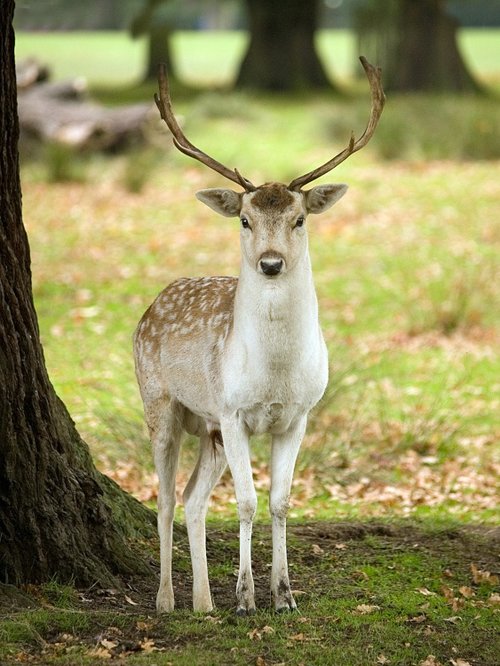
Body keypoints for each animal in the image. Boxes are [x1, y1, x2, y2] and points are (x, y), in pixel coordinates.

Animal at [132, 55, 382, 612]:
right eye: (245, 219)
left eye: (300, 218)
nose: (271, 263)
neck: (275, 376)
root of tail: (151, 305)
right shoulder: (233, 411)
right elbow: (246, 503)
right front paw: (246, 597)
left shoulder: (299, 415)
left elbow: (280, 501)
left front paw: (284, 595)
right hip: (161, 402)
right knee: (164, 498)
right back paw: (167, 600)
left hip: (208, 429)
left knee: (192, 499)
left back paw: (204, 605)